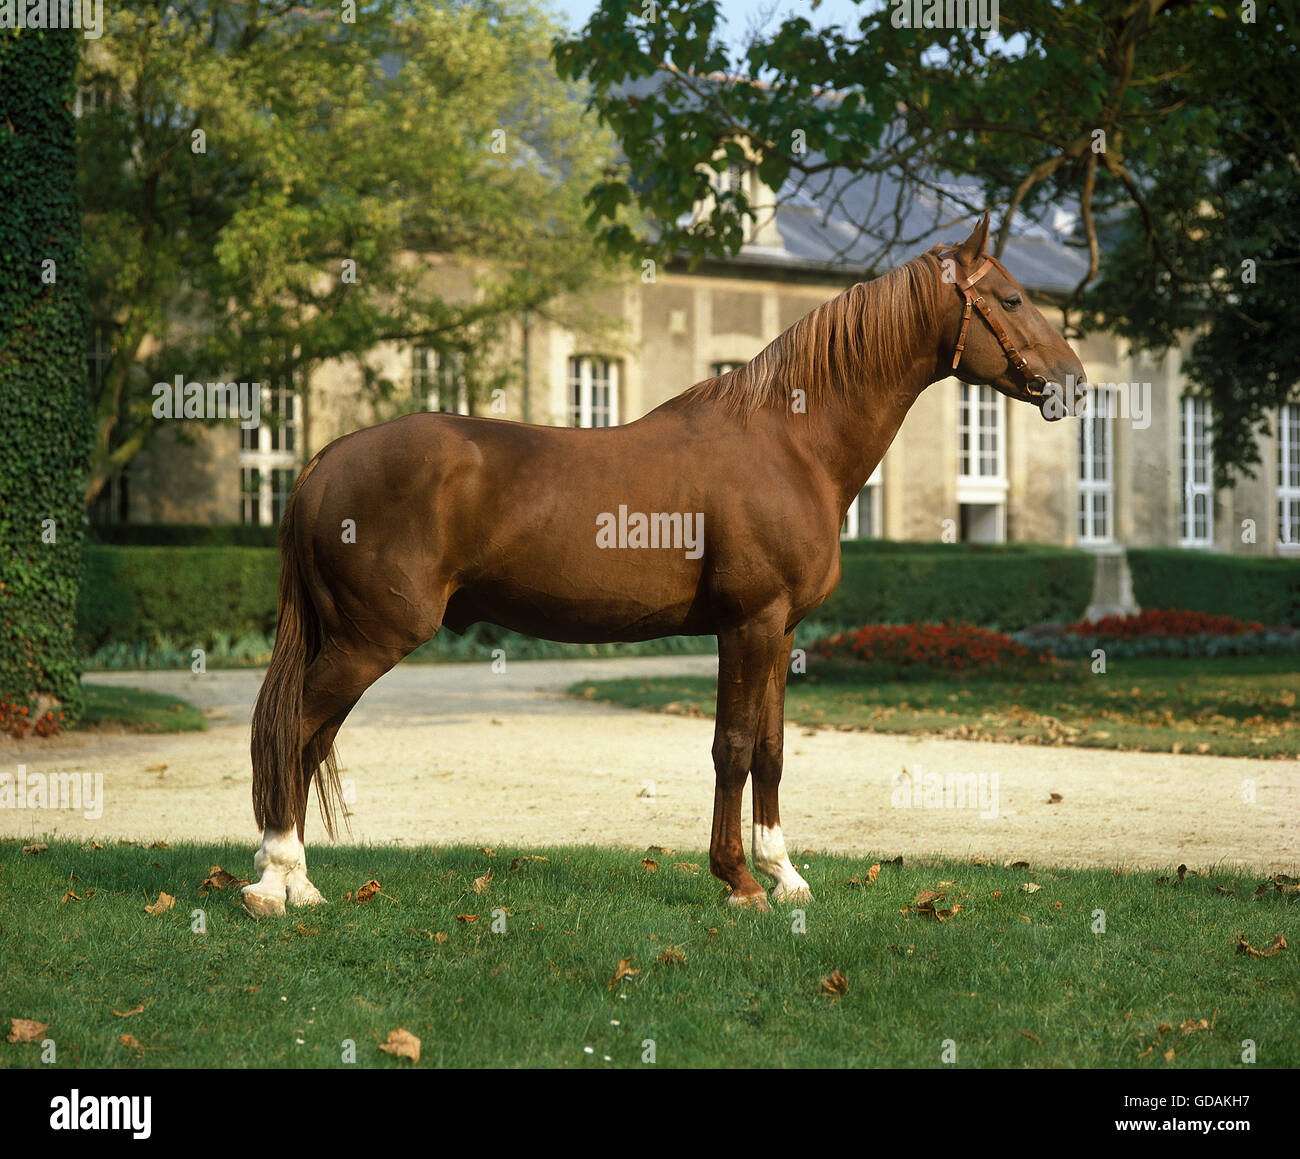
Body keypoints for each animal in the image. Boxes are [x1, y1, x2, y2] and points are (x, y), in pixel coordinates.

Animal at [241, 213, 1088, 916]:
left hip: (350, 641)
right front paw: (739, 879)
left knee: (308, 740)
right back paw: (271, 884)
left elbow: (771, 749)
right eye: (1011, 299)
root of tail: (322, 463)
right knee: (294, 730)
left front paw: (784, 873)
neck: (790, 444)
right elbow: (733, 747)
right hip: (371, 639)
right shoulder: (749, 625)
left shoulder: (779, 631)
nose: (1074, 382)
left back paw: (301, 883)